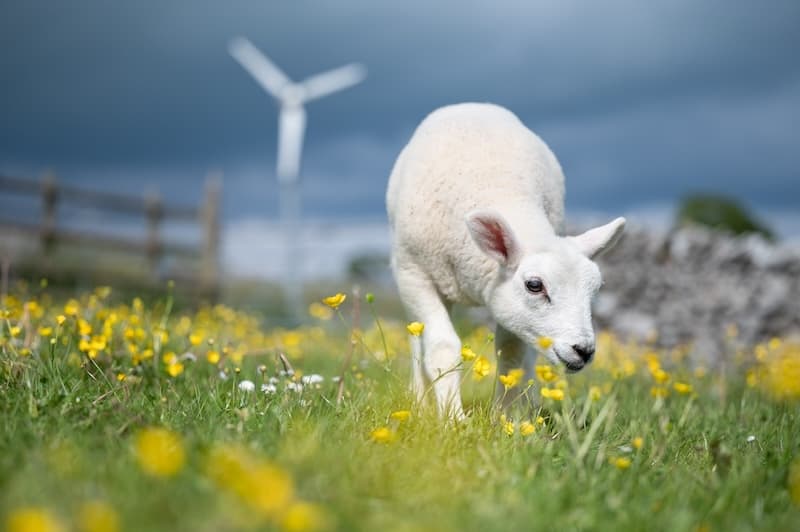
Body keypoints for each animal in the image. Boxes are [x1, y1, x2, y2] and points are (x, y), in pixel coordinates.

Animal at [386, 104, 624, 418]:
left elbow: (512, 353)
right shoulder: (415, 274)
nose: (584, 350)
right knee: (416, 336)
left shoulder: (511, 309)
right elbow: (442, 346)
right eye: (534, 285)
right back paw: (418, 399)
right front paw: (452, 418)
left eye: (595, 290)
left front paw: (505, 418)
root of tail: (472, 105)